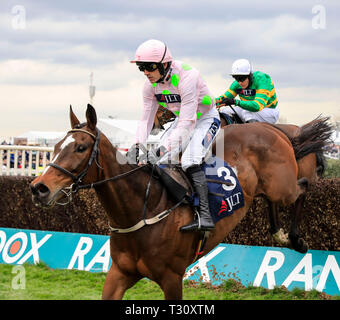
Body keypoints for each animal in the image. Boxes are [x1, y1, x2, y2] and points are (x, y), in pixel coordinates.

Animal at [30, 105, 314, 300]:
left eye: (80, 148)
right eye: (56, 146)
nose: (39, 188)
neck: (142, 210)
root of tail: (272, 128)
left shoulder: (172, 278)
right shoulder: (119, 273)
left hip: (284, 186)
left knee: (303, 187)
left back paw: (296, 238)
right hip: (268, 188)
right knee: (273, 199)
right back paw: (279, 233)